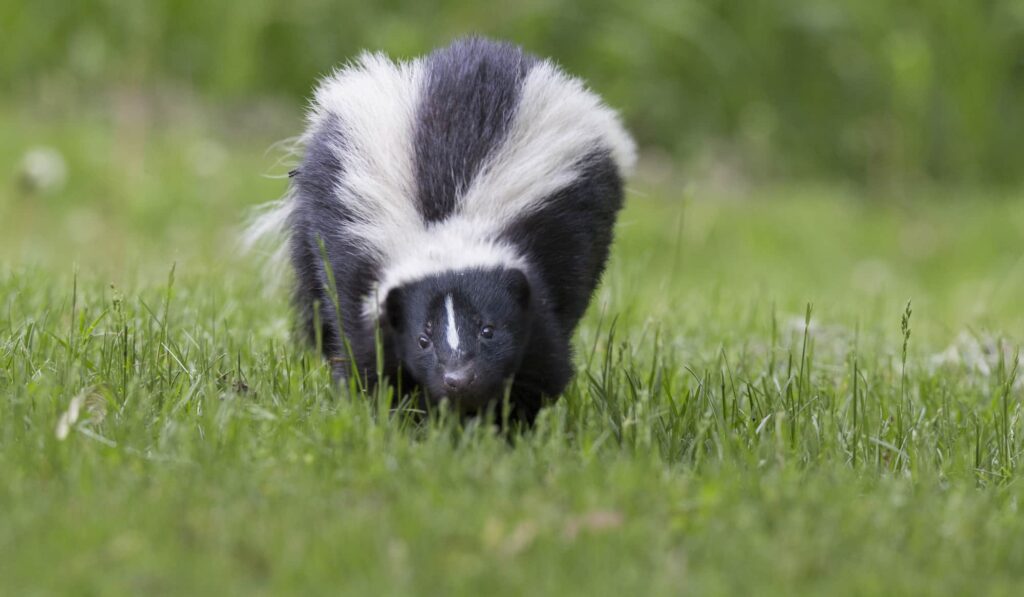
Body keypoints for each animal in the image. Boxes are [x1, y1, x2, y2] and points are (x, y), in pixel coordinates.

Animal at [249, 37, 630, 425]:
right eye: (423, 339)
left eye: (488, 329)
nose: (457, 379)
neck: (446, 224)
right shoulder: (357, 263)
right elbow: (368, 357)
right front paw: (401, 417)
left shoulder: (543, 261)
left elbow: (541, 360)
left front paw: (505, 423)